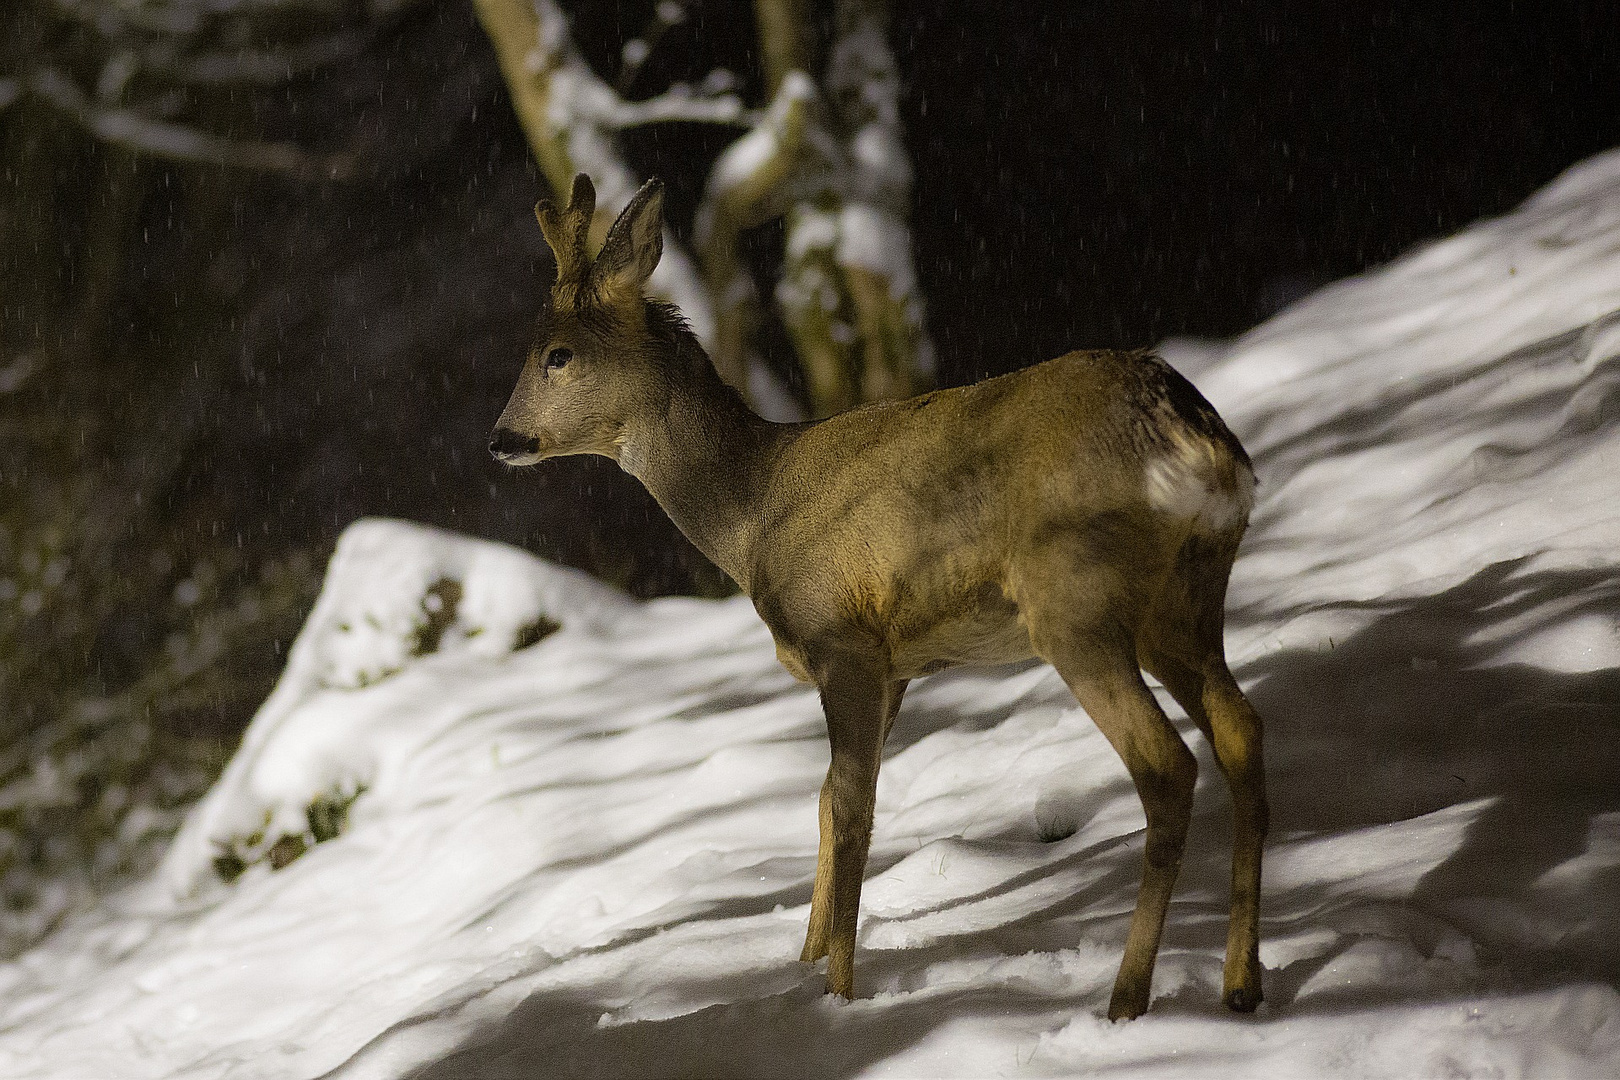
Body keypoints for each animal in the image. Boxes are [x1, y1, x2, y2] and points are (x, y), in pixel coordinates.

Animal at [486, 173, 1270, 1016]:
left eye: (557, 354)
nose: (499, 439)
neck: (751, 514)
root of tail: (1186, 426)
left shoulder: (842, 639)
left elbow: (851, 809)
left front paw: (838, 995)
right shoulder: (894, 665)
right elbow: (827, 800)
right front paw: (804, 966)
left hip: (1074, 595)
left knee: (1166, 766)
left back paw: (1127, 997)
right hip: (1183, 596)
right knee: (1240, 730)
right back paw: (1241, 983)